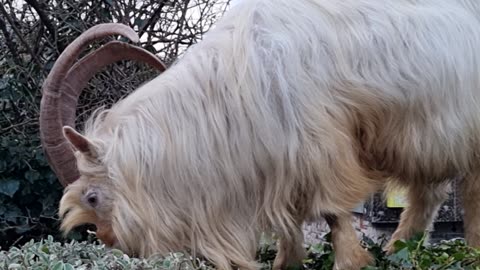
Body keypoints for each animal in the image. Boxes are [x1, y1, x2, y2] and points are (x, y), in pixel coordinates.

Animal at [40, 0, 480, 270]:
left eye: (92, 197)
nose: (111, 240)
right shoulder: (281, 162)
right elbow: (289, 224)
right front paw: (289, 261)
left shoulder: (321, 146)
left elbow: (333, 214)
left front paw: (352, 262)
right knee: (430, 194)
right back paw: (398, 250)